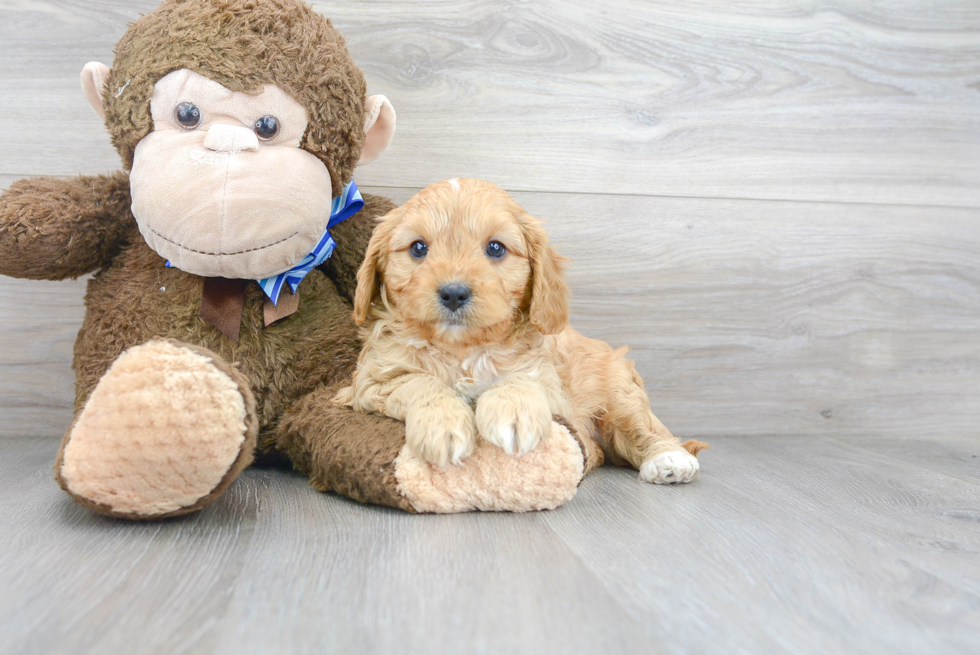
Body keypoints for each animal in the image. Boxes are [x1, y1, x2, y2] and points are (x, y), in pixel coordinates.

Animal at [336, 177, 704, 484]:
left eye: (495, 248)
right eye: (417, 248)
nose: (453, 293)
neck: (463, 349)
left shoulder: (552, 388)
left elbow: (521, 379)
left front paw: (512, 414)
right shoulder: (371, 382)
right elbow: (420, 382)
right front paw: (443, 426)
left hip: (619, 388)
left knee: (642, 427)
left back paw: (669, 459)